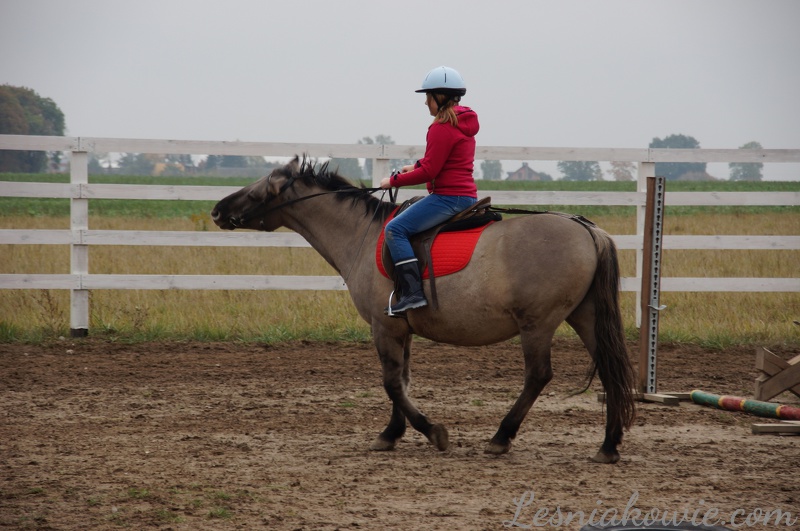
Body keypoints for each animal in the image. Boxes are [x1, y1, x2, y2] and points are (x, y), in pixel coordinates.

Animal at [212, 156, 636, 464]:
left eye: (260, 189)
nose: (217, 210)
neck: (363, 235)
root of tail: (587, 229)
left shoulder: (384, 328)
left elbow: (391, 382)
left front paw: (431, 431)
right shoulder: (402, 330)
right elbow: (402, 380)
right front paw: (391, 433)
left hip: (538, 324)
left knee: (538, 376)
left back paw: (501, 437)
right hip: (585, 317)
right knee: (610, 370)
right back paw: (609, 445)